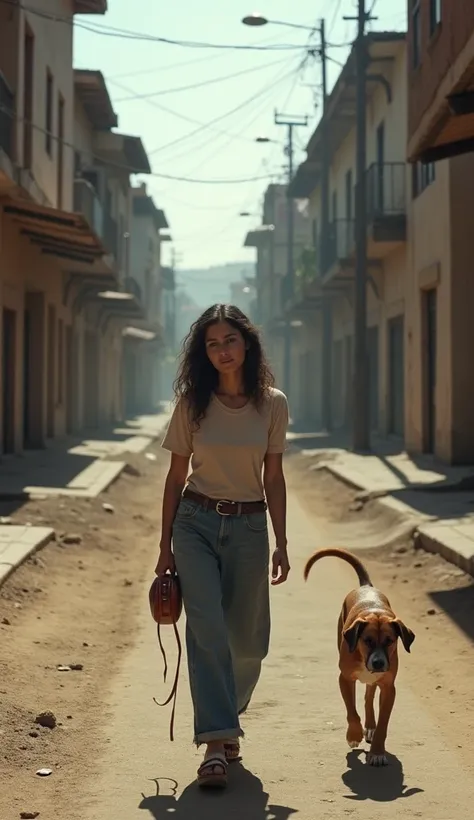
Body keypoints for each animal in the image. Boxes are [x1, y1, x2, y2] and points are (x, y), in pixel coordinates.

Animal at [304, 548, 414, 764]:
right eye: (367, 640)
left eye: (390, 640)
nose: (378, 663)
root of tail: (366, 586)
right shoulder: (345, 679)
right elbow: (351, 712)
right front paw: (353, 735)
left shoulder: (389, 688)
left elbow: (383, 723)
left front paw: (377, 751)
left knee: (368, 696)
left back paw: (370, 725)